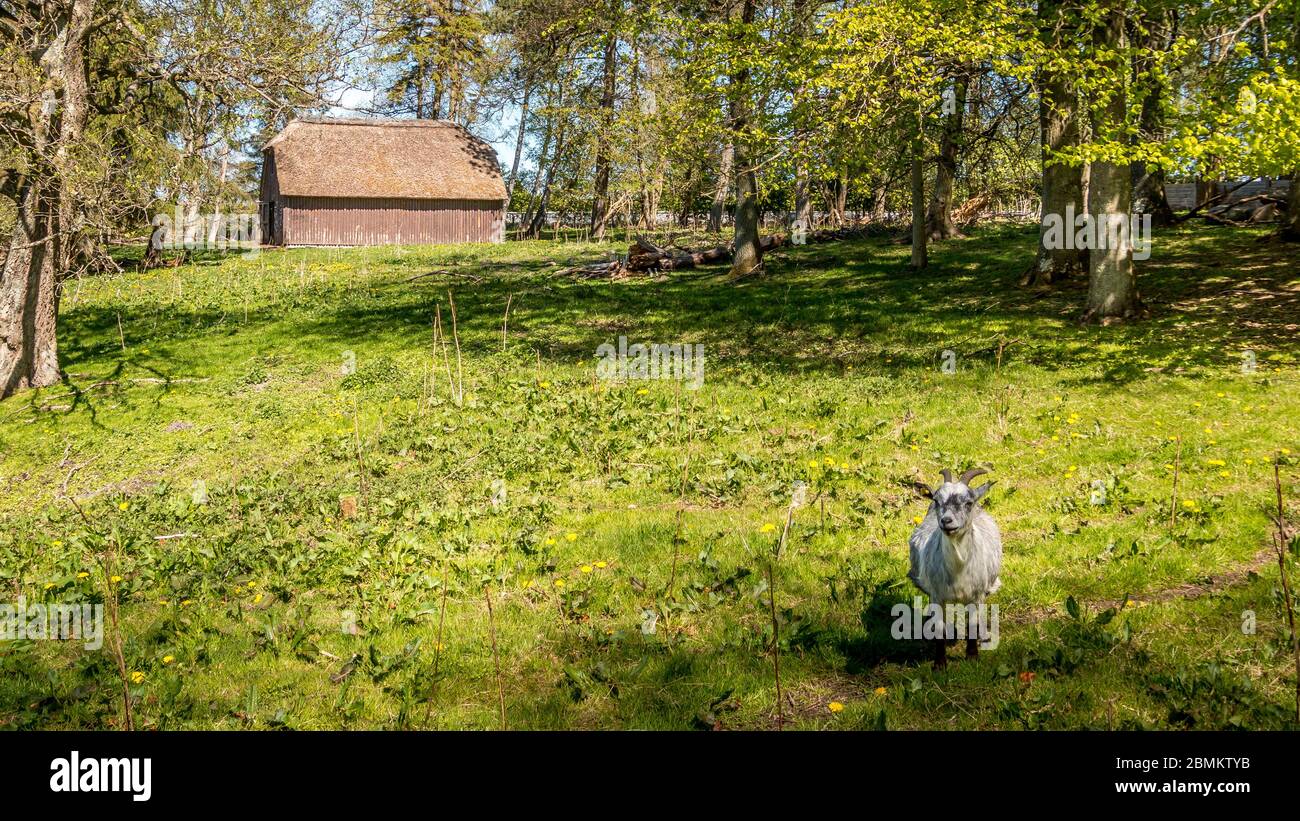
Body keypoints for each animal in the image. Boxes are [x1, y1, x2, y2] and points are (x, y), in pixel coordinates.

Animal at [907, 467, 1002, 669]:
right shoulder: (937, 595)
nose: (946, 521)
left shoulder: (976, 595)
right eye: (936, 500)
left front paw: (972, 657)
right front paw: (940, 664)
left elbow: (973, 624)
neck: (958, 570)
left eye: (968, 502)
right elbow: (940, 629)